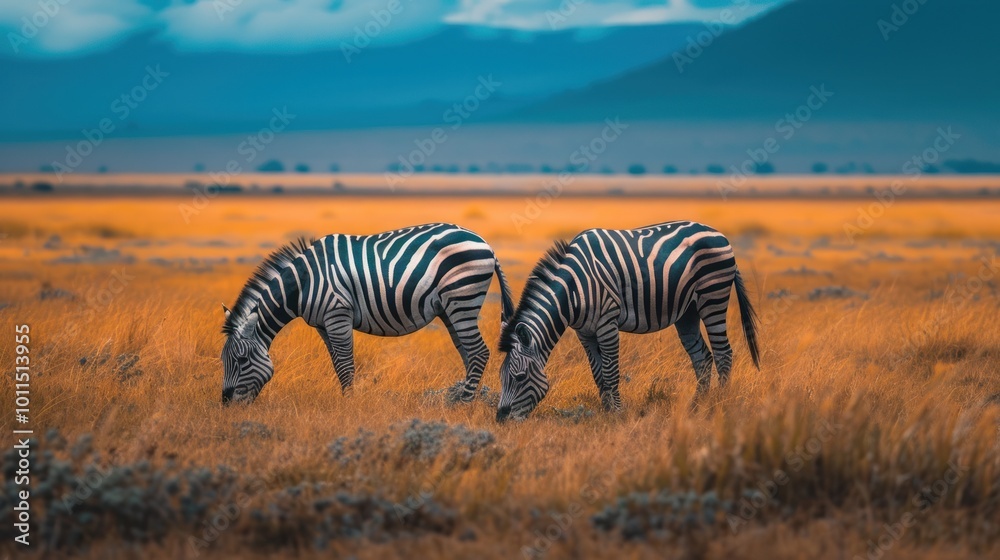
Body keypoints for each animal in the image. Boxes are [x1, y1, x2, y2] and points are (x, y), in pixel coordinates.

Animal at [221, 223, 514, 405]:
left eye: (242, 360)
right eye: (224, 361)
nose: (225, 404)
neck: (304, 283)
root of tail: (485, 243)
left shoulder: (337, 313)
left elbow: (346, 363)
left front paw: (349, 405)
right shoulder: (323, 324)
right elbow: (337, 364)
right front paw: (345, 399)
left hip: (462, 299)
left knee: (478, 352)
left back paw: (464, 404)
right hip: (451, 308)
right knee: (469, 354)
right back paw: (467, 399)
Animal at [495, 221, 760, 422]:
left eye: (519, 377)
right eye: (500, 377)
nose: (500, 419)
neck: (574, 291)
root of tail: (720, 234)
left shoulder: (607, 323)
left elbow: (611, 371)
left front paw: (617, 414)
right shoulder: (585, 332)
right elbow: (598, 373)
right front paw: (605, 411)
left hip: (712, 296)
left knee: (723, 353)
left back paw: (719, 404)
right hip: (688, 312)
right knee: (702, 357)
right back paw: (697, 406)